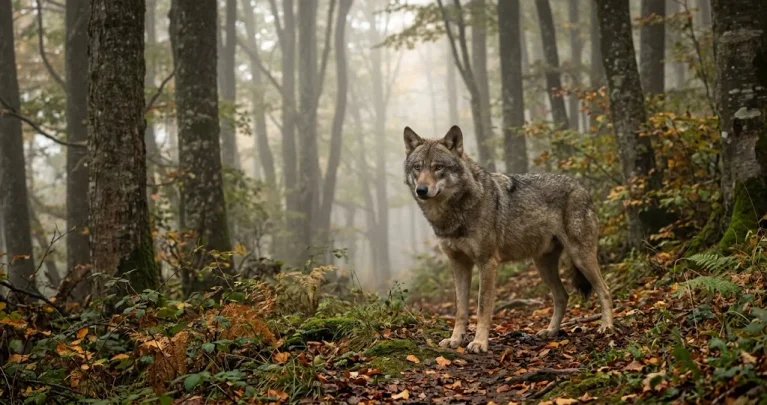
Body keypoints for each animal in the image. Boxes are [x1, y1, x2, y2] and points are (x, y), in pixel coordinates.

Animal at [403, 125, 614, 353]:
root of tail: (582, 187)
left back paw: (607, 327)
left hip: (580, 257)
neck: (454, 213)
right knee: (562, 296)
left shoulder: (487, 263)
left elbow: (482, 307)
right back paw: (551, 332)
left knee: (604, 290)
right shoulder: (459, 264)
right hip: (542, 264)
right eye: (417, 167)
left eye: (438, 167)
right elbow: (460, 309)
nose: (421, 190)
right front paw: (455, 340)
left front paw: (479, 343)